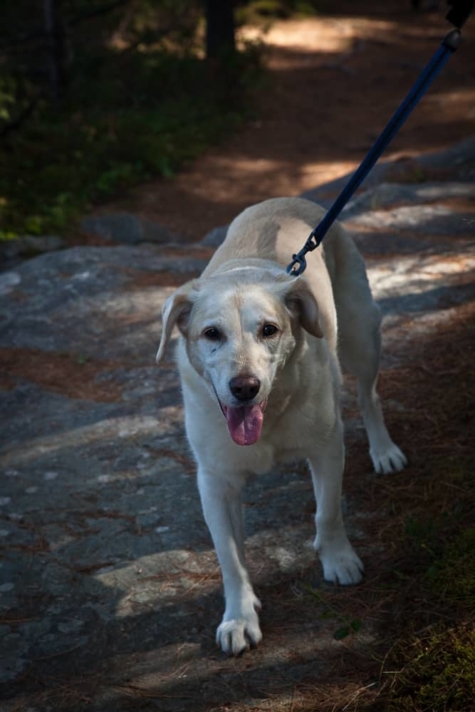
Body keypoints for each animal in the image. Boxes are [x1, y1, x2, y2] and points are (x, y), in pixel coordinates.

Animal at [155, 196, 406, 656]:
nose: (244, 387)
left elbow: (328, 513)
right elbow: (230, 560)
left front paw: (339, 559)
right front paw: (239, 617)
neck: (270, 415)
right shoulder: (215, 482)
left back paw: (384, 450)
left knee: (369, 397)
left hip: (362, 336)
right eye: (211, 333)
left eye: (269, 329)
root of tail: (288, 200)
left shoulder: (327, 449)